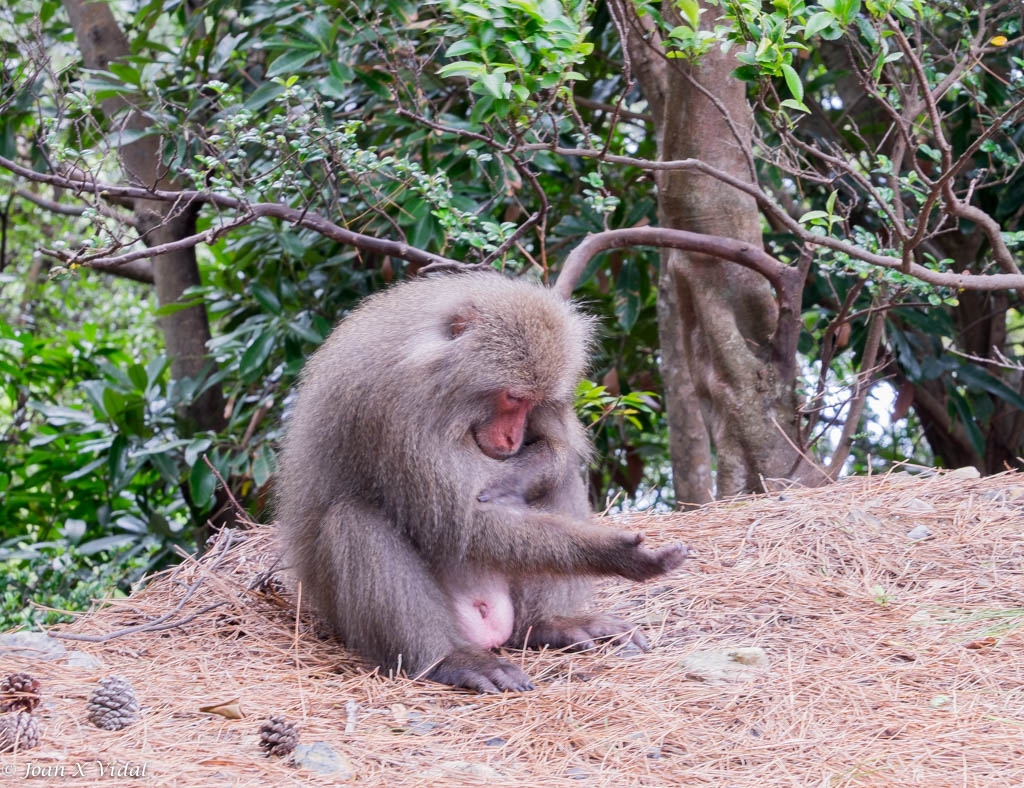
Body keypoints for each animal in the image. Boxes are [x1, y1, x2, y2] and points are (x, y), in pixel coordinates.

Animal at [276, 270, 688, 687]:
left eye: (534, 402)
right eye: (512, 397)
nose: (512, 439)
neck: (439, 376)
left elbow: (556, 451)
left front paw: (521, 475)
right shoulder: (391, 409)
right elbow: (456, 524)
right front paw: (614, 552)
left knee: (559, 483)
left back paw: (550, 623)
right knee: (354, 520)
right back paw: (448, 658)